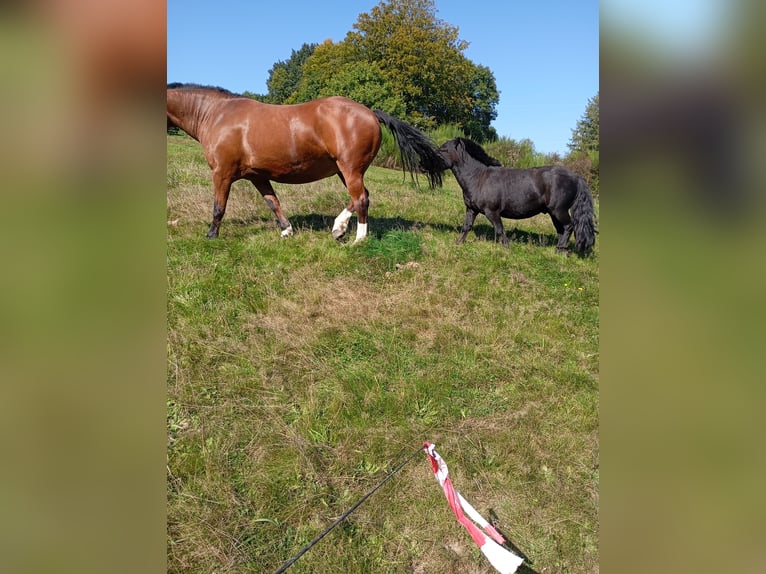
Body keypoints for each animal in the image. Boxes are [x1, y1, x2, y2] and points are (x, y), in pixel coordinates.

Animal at [166, 83, 446, 242]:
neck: (217, 114)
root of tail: (370, 112)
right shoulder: (258, 175)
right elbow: (273, 202)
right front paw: (287, 230)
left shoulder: (221, 173)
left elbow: (218, 207)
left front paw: (211, 235)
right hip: (345, 171)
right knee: (362, 197)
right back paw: (341, 229)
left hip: (350, 169)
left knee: (361, 199)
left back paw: (355, 237)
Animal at [438, 138, 596, 253]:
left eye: (444, 149)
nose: (432, 159)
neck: (479, 177)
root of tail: (576, 177)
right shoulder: (471, 210)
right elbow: (467, 227)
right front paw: (458, 243)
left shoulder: (492, 212)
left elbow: (500, 230)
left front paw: (507, 249)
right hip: (554, 213)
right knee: (562, 230)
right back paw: (561, 250)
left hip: (559, 210)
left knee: (569, 226)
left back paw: (560, 250)